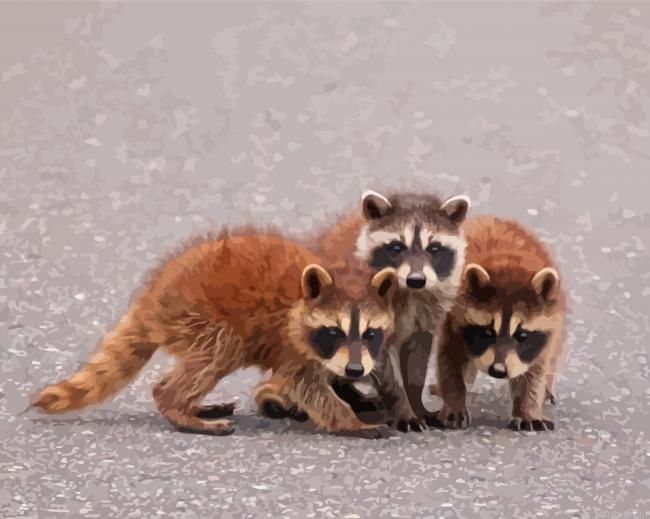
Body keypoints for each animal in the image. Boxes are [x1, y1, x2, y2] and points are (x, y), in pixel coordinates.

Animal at [32, 233, 398, 436]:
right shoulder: (290, 342)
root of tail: (151, 300)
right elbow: (308, 385)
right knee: (216, 353)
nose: (355, 370)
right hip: (199, 317)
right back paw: (175, 403)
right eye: (334, 331)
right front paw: (349, 420)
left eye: (370, 333)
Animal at [432, 216, 565, 431]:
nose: (499, 370)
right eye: (487, 332)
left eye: (522, 335)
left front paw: (528, 408)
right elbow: (450, 361)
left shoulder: (546, 331)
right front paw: (454, 403)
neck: (509, 262)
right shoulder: (453, 318)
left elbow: (534, 371)